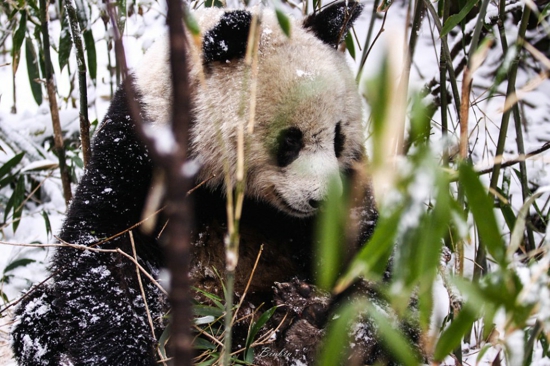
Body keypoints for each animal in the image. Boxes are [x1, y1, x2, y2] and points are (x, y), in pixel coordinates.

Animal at [11, 3, 384, 366]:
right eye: (290, 140)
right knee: (36, 317)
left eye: (338, 137)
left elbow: (362, 250)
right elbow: (106, 247)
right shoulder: (137, 144)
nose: (322, 199)